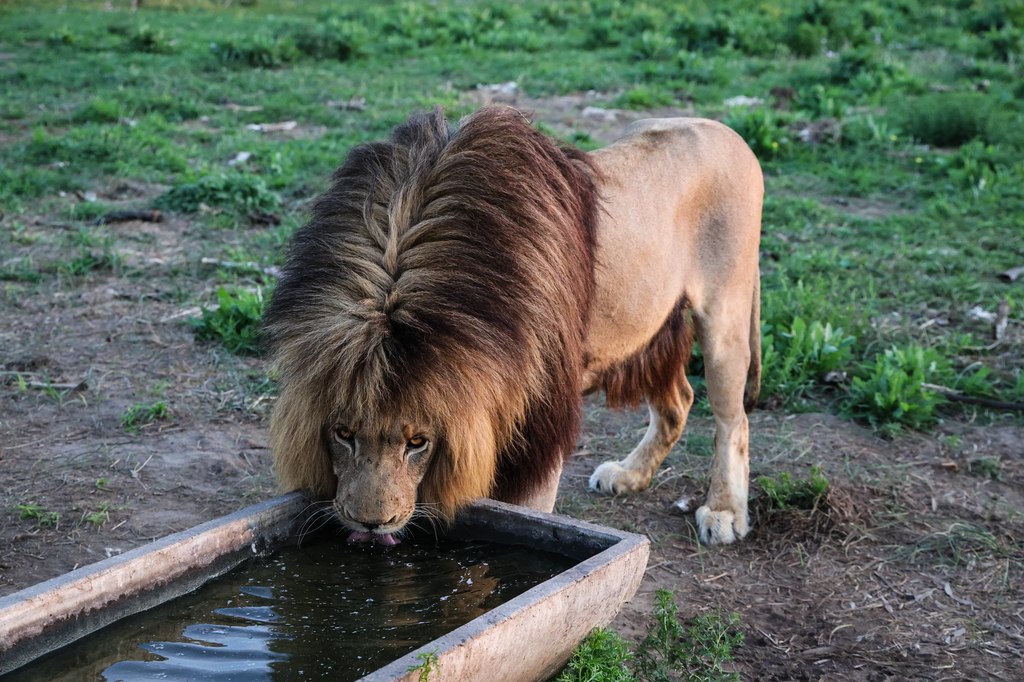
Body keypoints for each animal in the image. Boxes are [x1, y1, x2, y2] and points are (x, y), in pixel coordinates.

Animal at [263, 106, 762, 546]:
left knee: (732, 420)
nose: (370, 525)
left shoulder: (540, 427)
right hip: (654, 327)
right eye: (343, 434)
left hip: (725, 317)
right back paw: (629, 474)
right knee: (679, 400)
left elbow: (525, 514)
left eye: (417, 442)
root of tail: (725, 131)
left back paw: (724, 512)